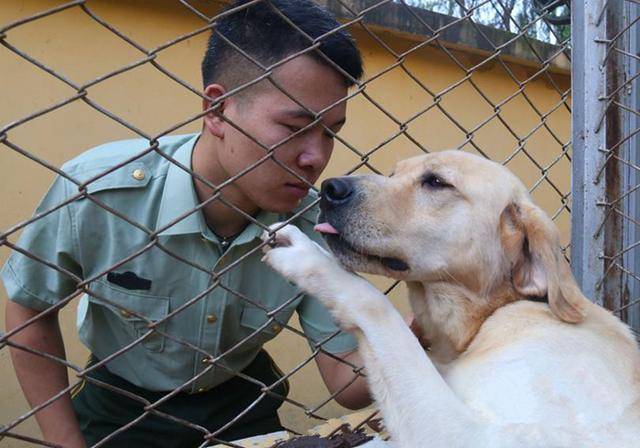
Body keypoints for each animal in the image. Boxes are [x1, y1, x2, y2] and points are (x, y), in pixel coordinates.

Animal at [262, 151, 640, 448]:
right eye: (394, 173)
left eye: (436, 182)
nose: (330, 188)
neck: (488, 318)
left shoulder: (477, 437)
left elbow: (379, 310)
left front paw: (311, 258)